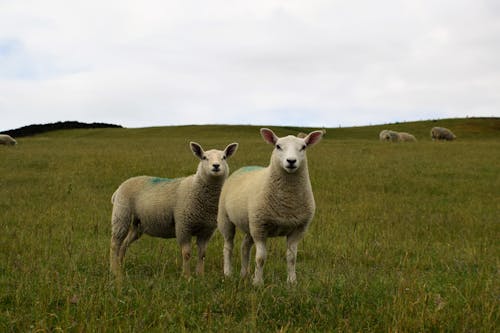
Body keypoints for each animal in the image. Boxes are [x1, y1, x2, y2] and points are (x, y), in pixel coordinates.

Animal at [110, 140, 239, 278]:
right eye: (204, 157)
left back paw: (120, 266)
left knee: (124, 244)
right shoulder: (183, 226)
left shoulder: (206, 231)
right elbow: (186, 253)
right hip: (121, 214)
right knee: (115, 244)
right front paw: (187, 276)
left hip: (138, 224)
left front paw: (200, 275)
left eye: (224, 157)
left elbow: (202, 254)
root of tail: (120, 187)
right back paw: (114, 271)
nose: (216, 166)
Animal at [219, 128, 324, 284]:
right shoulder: (260, 228)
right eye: (278, 146)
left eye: (303, 147)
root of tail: (243, 168)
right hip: (226, 219)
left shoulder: (298, 229)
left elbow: (292, 258)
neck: (287, 202)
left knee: (244, 247)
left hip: (250, 223)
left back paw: (244, 274)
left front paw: (292, 282)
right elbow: (260, 258)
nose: (291, 161)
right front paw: (257, 282)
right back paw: (228, 273)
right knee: (228, 246)